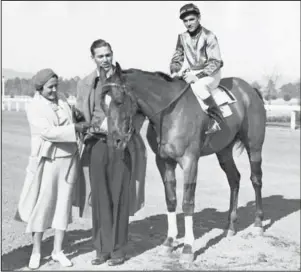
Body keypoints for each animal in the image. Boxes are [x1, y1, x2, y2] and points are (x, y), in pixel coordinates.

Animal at [98, 62, 264, 262]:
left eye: (119, 101)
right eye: (103, 103)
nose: (113, 141)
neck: (169, 113)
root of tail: (250, 89)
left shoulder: (190, 161)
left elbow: (187, 203)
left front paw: (188, 248)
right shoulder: (164, 161)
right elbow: (171, 200)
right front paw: (169, 242)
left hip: (254, 147)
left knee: (256, 179)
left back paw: (258, 224)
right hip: (223, 151)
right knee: (234, 179)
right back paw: (230, 227)